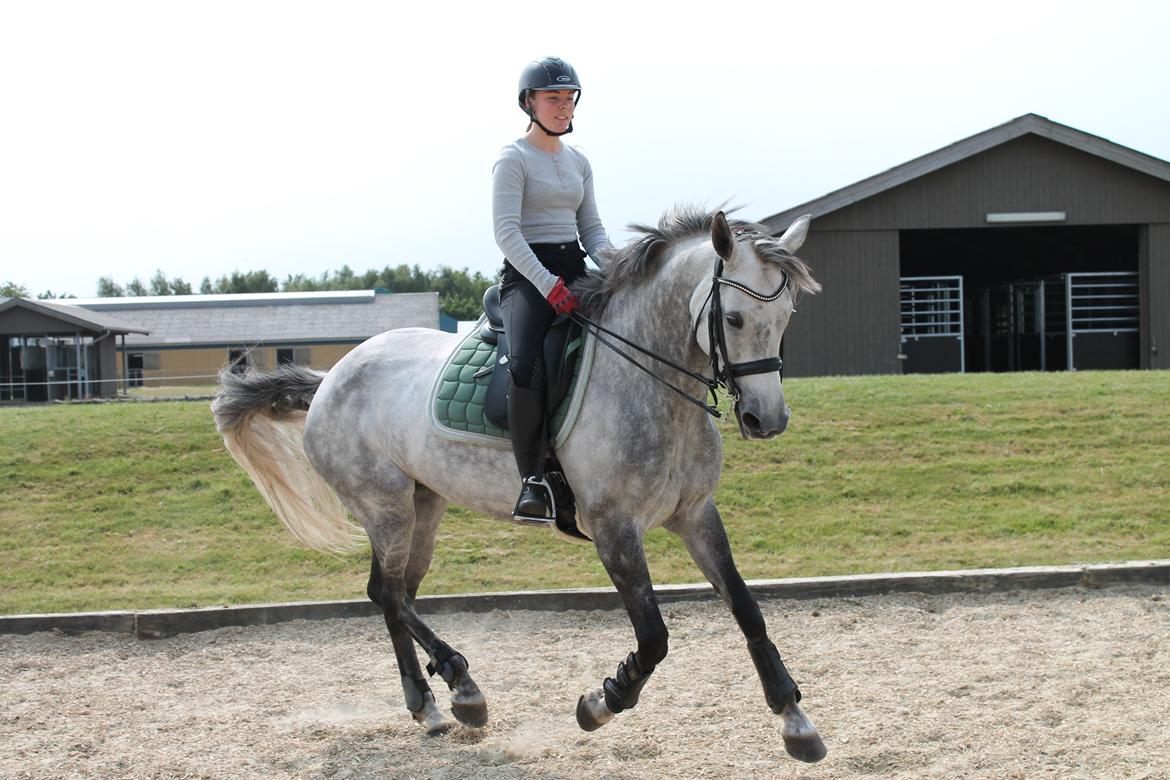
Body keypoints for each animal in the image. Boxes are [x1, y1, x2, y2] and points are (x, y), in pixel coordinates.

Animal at [212, 205, 833, 762]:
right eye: (733, 319)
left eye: (787, 316)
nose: (766, 419)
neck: (652, 383)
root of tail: (330, 377)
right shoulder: (613, 527)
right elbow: (653, 636)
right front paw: (600, 703)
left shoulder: (697, 513)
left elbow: (747, 609)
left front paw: (794, 720)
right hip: (385, 507)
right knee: (385, 592)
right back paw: (457, 689)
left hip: (423, 505)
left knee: (397, 593)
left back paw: (435, 702)